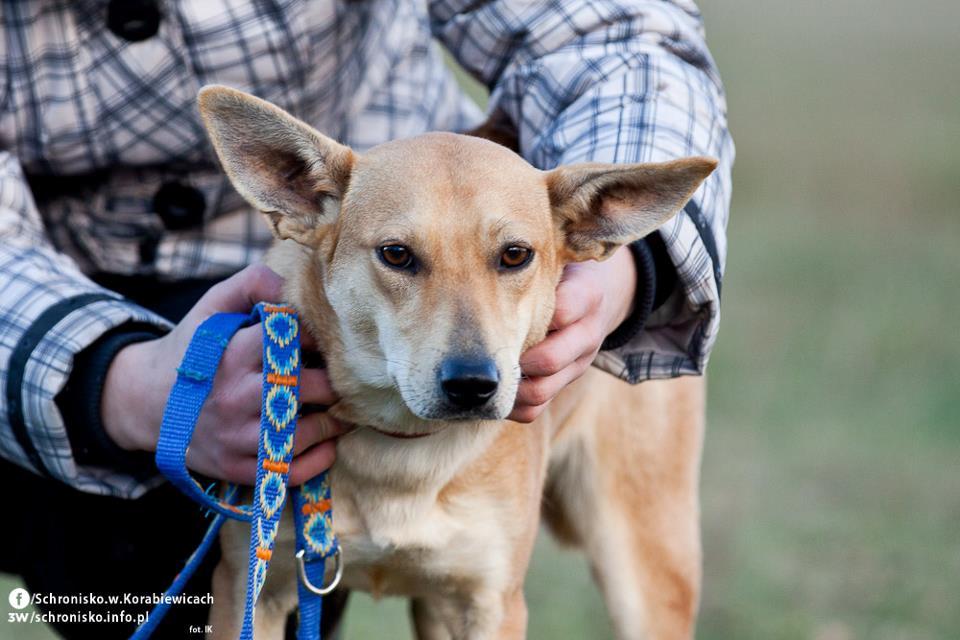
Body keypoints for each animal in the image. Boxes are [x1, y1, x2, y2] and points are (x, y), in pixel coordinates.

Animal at [199, 86, 716, 640]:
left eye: (515, 254)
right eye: (396, 254)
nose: (471, 384)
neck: (401, 456)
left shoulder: (490, 602)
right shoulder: (248, 589)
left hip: (647, 564)